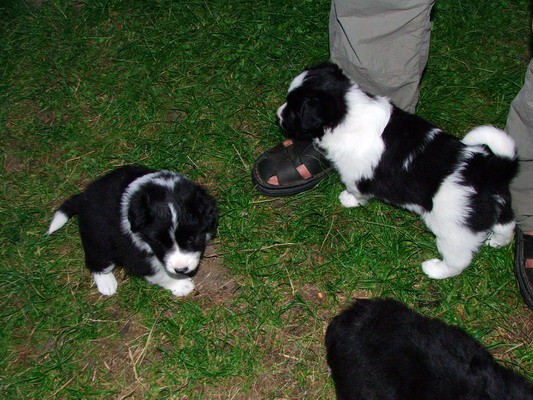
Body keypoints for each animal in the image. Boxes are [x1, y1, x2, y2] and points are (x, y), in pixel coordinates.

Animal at [47, 163, 217, 296]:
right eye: (160, 243)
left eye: (191, 238)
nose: (181, 269)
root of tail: (83, 198)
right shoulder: (133, 251)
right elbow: (157, 272)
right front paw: (180, 285)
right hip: (98, 239)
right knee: (96, 260)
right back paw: (106, 283)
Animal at [276, 63, 516, 282]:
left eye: (292, 110)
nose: (277, 115)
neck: (348, 110)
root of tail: (491, 169)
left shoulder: (354, 174)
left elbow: (357, 191)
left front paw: (348, 200)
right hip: (498, 210)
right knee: (507, 227)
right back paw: (496, 241)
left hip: (454, 229)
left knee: (459, 260)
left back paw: (435, 269)